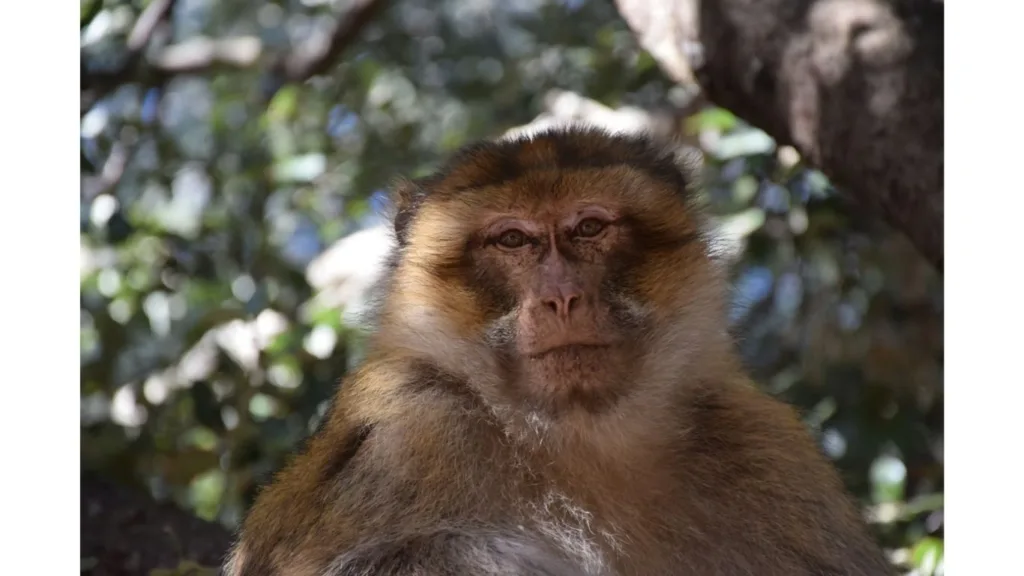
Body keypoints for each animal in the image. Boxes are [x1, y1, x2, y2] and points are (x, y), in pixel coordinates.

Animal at [224, 125, 894, 576]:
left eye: (589, 228)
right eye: (513, 240)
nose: (562, 297)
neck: (577, 440)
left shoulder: (767, 443)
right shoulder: (405, 425)